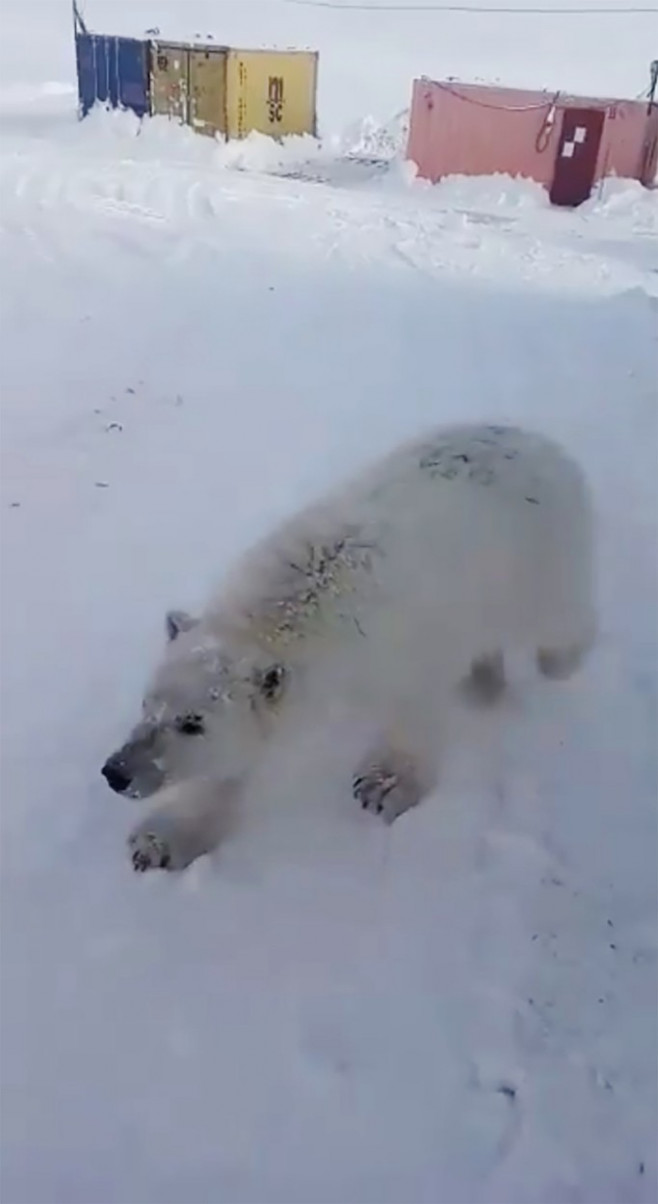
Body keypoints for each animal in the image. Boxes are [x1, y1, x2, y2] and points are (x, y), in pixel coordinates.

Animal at [101, 426, 596, 876]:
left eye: (192, 723)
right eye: (147, 703)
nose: (116, 772)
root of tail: (543, 443)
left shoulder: (399, 653)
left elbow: (411, 716)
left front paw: (382, 787)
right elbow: (227, 772)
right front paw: (157, 842)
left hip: (538, 559)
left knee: (556, 621)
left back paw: (559, 662)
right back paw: (484, 679)